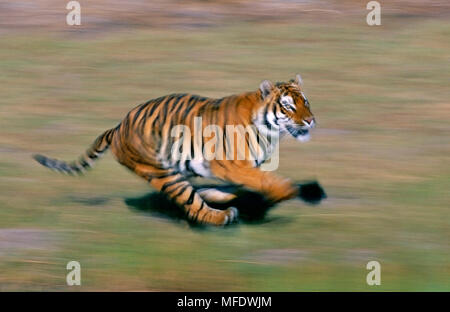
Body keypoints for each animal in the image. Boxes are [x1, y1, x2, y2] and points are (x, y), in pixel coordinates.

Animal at [33, 75, 316, 227]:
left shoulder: (237, 168)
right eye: (288, 106)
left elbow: (241, 183)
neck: (271, 133)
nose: (311, 120)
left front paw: (217, 193)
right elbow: (265, 180)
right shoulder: (232, 164)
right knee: (192, 205)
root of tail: (118, 127)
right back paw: (222, 216)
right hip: (161, 172)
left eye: (305, 102)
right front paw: (287, 191)